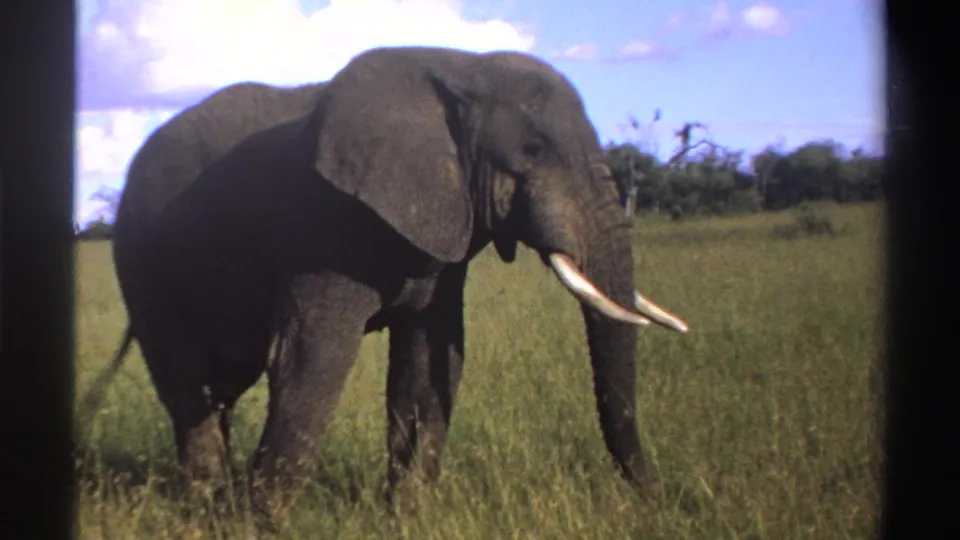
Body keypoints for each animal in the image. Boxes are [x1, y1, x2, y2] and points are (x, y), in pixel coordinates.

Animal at [83, 45, 689, 525]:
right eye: (532, 152)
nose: (657, 498)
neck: (462, 67)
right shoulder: (323, 225)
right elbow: (313, 356)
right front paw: (260, 525)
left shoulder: (443, 229)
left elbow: (430, 357)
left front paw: (410, 517)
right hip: (140, 258)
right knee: (187, 381)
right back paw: (209, 508)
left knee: (221, 385)